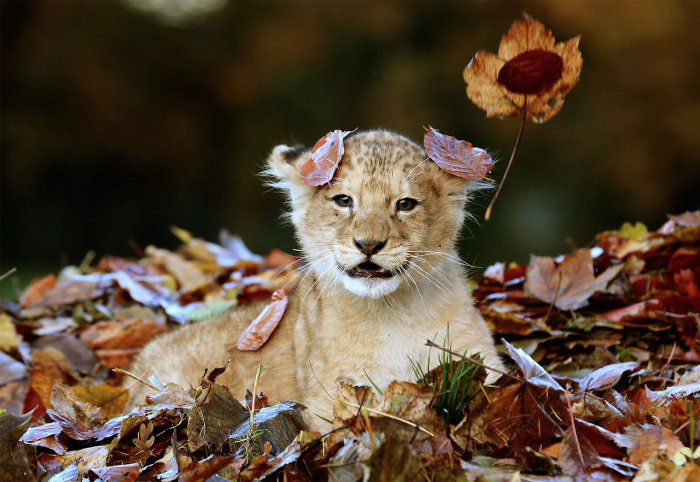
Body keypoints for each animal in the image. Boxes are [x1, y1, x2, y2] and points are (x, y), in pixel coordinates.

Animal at [126, 130, 504, 430]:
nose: (369, 244)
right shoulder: (328, 403)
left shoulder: (485, 366)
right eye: (343, 200)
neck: (392, 313)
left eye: (406, 204)